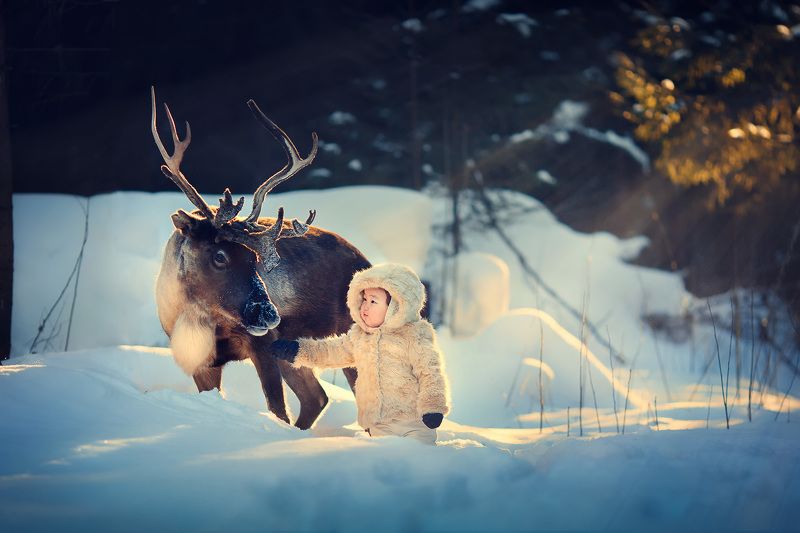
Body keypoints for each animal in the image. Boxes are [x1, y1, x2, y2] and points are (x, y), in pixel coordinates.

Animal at [151, 88, 370, 429]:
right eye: (219, 256)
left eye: (254, 258)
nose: (269, 315)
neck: (196, 315)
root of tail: (366, 261)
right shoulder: (201, 360)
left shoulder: (264, 344)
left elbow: (277, 408)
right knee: (317, 397)